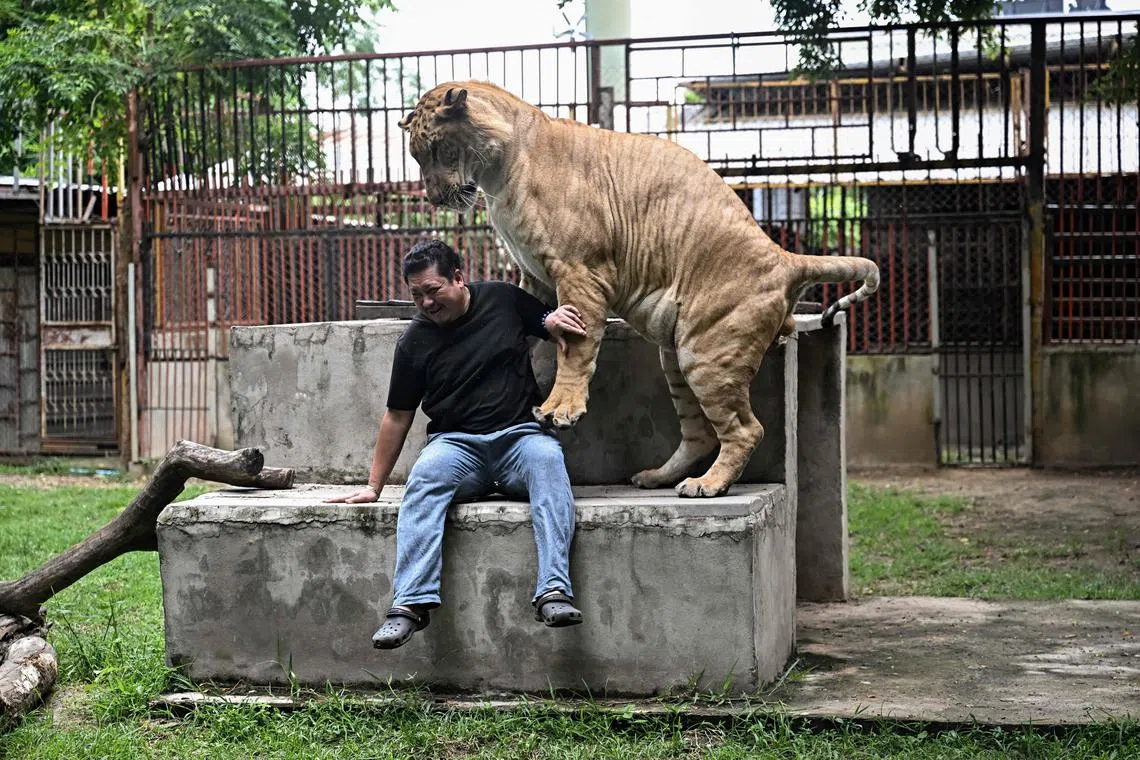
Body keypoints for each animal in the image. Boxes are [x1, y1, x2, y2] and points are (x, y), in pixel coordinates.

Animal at [398, 81, 879, 497]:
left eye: (437, 149)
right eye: (415, 157)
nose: (435, 199)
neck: (497, 174)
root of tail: (784, 257)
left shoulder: (581, 270)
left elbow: (575, 347)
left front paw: (560, 408)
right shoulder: (534, 274)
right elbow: (531, 330)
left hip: (707, 351)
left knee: (746, 429)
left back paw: (707, 485)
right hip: (677, 356)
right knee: (700, 432)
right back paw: (658, 477)